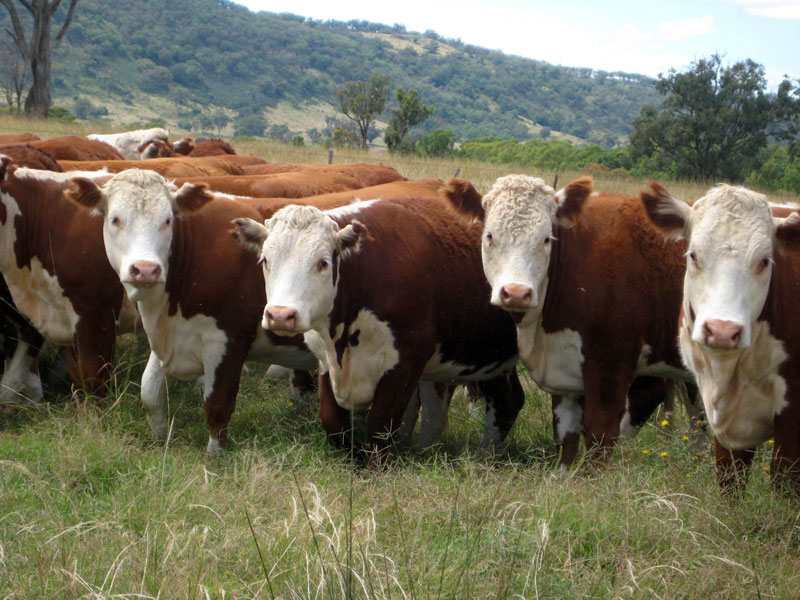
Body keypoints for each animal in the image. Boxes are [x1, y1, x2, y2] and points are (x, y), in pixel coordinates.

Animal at [231, 184, 524, 454]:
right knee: (508, 400)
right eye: (265, 259)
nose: (281, 315)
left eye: (323, 262)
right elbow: (333, 423)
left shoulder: (406, 362)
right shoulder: (326, 359)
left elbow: (380, 425)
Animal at [444, 173, 700, 464]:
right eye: (489, 236)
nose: (516, 293)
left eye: (546, 239)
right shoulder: (563, 374)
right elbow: (565, 437)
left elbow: (599, 435)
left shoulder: (610, 368)